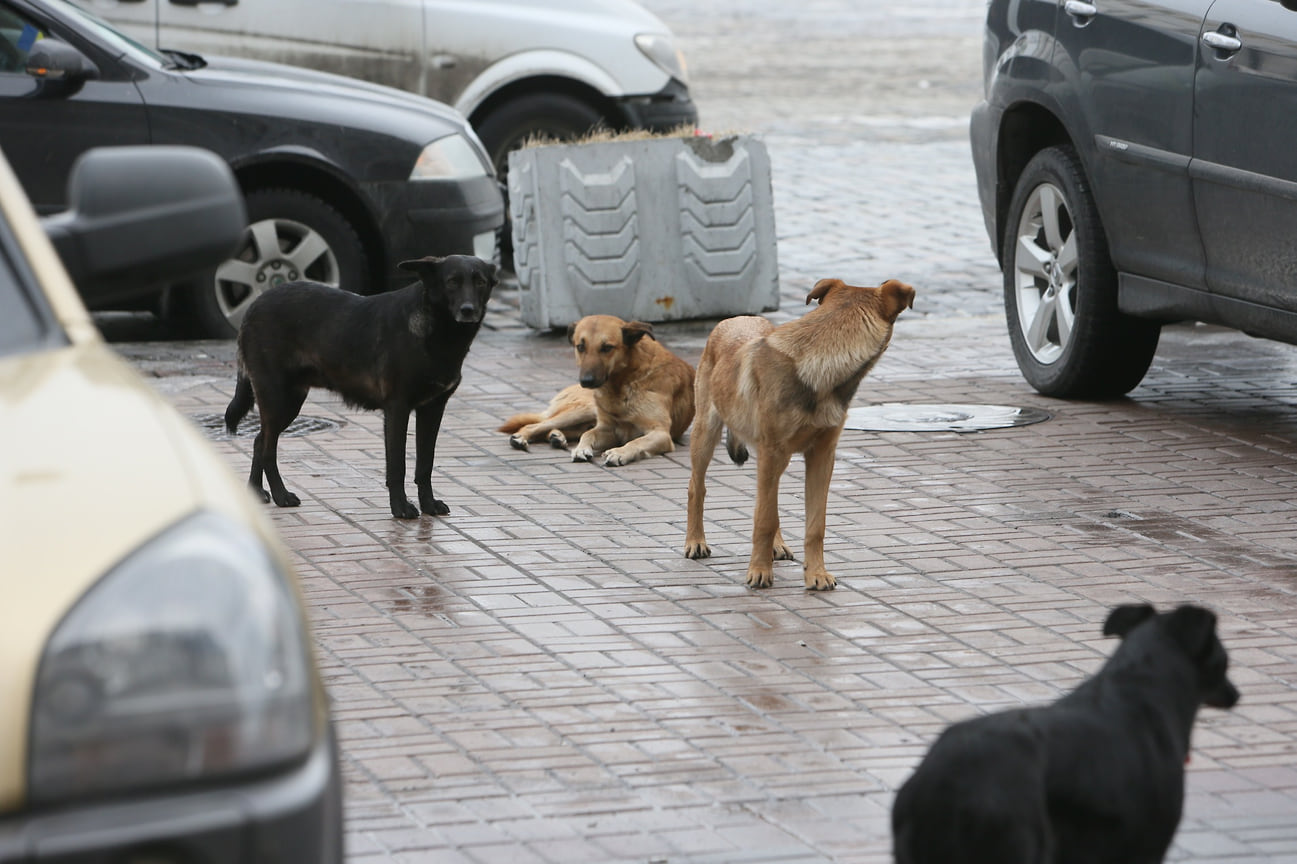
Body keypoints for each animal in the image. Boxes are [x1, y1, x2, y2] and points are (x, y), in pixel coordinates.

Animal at [224, 252, 495, 513]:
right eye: (452, 282)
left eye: (480, 282)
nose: (468, 310)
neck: (438, 331)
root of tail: (254, 305)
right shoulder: (397, 408)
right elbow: (397, 465)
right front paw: (400, 507)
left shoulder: (432, 409)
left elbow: (425, 464)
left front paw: (428, 505)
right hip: (276, 398)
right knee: (268, 449)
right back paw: (281, 496)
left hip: (289, 402)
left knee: (259, 441)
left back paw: (256, 492)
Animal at [498, 312, 700, 464]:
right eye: (580, 346)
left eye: (607, 347)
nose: (586, 381)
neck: (624, 382)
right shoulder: (607, 428)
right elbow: (588, 435)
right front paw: (581, 449)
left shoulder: (660, 433)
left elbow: (636, 442)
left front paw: (619, 452)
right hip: (584, 410)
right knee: (536, 425)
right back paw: (523, 437)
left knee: (560, 429)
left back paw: (557, 437)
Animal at [684, 276, 918, 586]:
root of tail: (738, 318)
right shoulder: (772, 453)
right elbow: (764, 518)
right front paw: (759, 571)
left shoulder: (821, 456)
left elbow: (814, 524)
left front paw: (816, 574)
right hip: (707, 433)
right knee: (697, 488)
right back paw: (695, 541)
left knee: (770, 502)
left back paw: (777, 545)